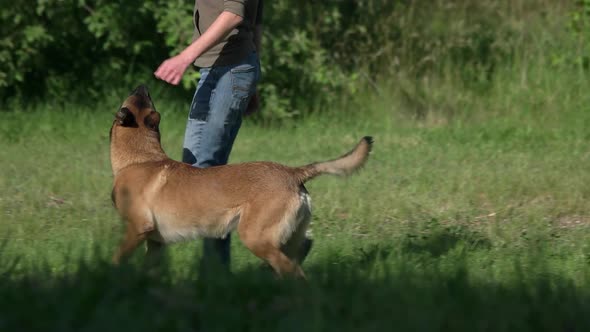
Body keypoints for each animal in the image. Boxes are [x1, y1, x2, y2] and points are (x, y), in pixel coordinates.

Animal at [108, 85, 372, 278]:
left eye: (136, 96)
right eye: (144, 97)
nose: (143, 84)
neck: (141, 157)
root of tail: (292, 172)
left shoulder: (138, 228)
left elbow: (117, 258)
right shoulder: (155, 243)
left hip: (255, 236)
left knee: (293, 270)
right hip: (286, 236)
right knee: (300, 253)